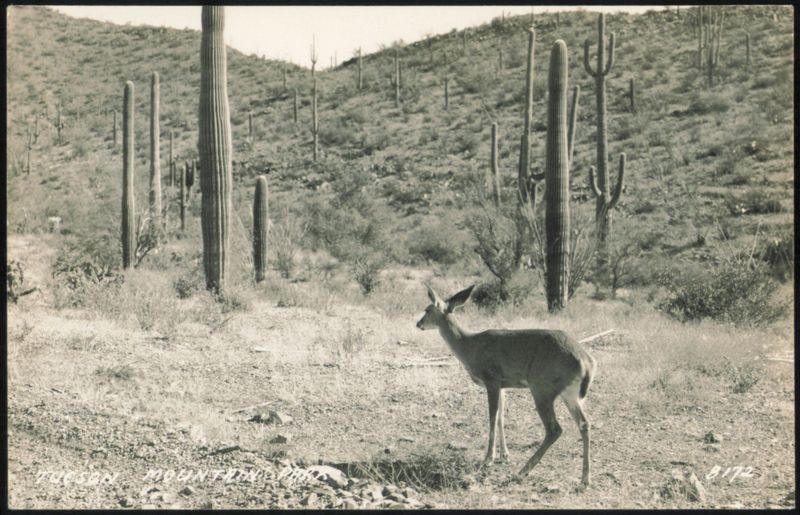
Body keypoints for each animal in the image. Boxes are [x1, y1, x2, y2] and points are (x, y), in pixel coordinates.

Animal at [416, 284, 597, 488]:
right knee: (584, 423)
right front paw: (505, 454)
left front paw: (489, 458)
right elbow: (501, 417)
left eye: (427, 310)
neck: (469, 346)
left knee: (554, 429)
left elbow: (492, 417)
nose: (418, 324)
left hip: (542, 388)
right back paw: (585, 479)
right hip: (570, 394)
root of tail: (586, 362)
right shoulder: (503, 384)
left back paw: (523, 471)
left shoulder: (492, 379)